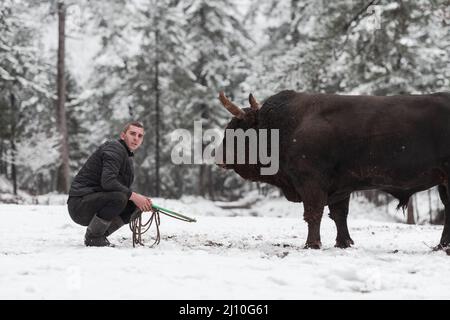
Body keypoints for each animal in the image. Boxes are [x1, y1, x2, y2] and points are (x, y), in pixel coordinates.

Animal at [217, 90, 450, 250]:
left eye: (237, 129)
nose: (218, 156)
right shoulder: (341, 187)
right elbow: (339, 215)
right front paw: (343, 242)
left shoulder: (311, 183)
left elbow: (313, 213)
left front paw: (312, 244)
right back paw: (441, 246)